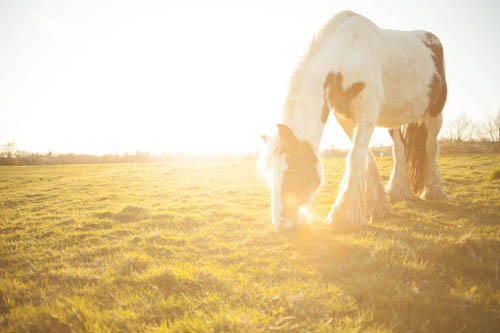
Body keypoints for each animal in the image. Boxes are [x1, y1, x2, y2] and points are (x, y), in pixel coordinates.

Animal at [260, 10, 448, 228]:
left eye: (290, 171)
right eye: (268, 175)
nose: (281, 224)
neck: (346, 53)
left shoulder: (368, 108)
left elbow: (356, 156)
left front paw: (343, 214)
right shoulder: (345, 116)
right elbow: (367, 157)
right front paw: (377, 206)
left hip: (436, 111)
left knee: (431, 147)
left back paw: (434, 190)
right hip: (395, 118)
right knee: (399, 150)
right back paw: (396, 190)